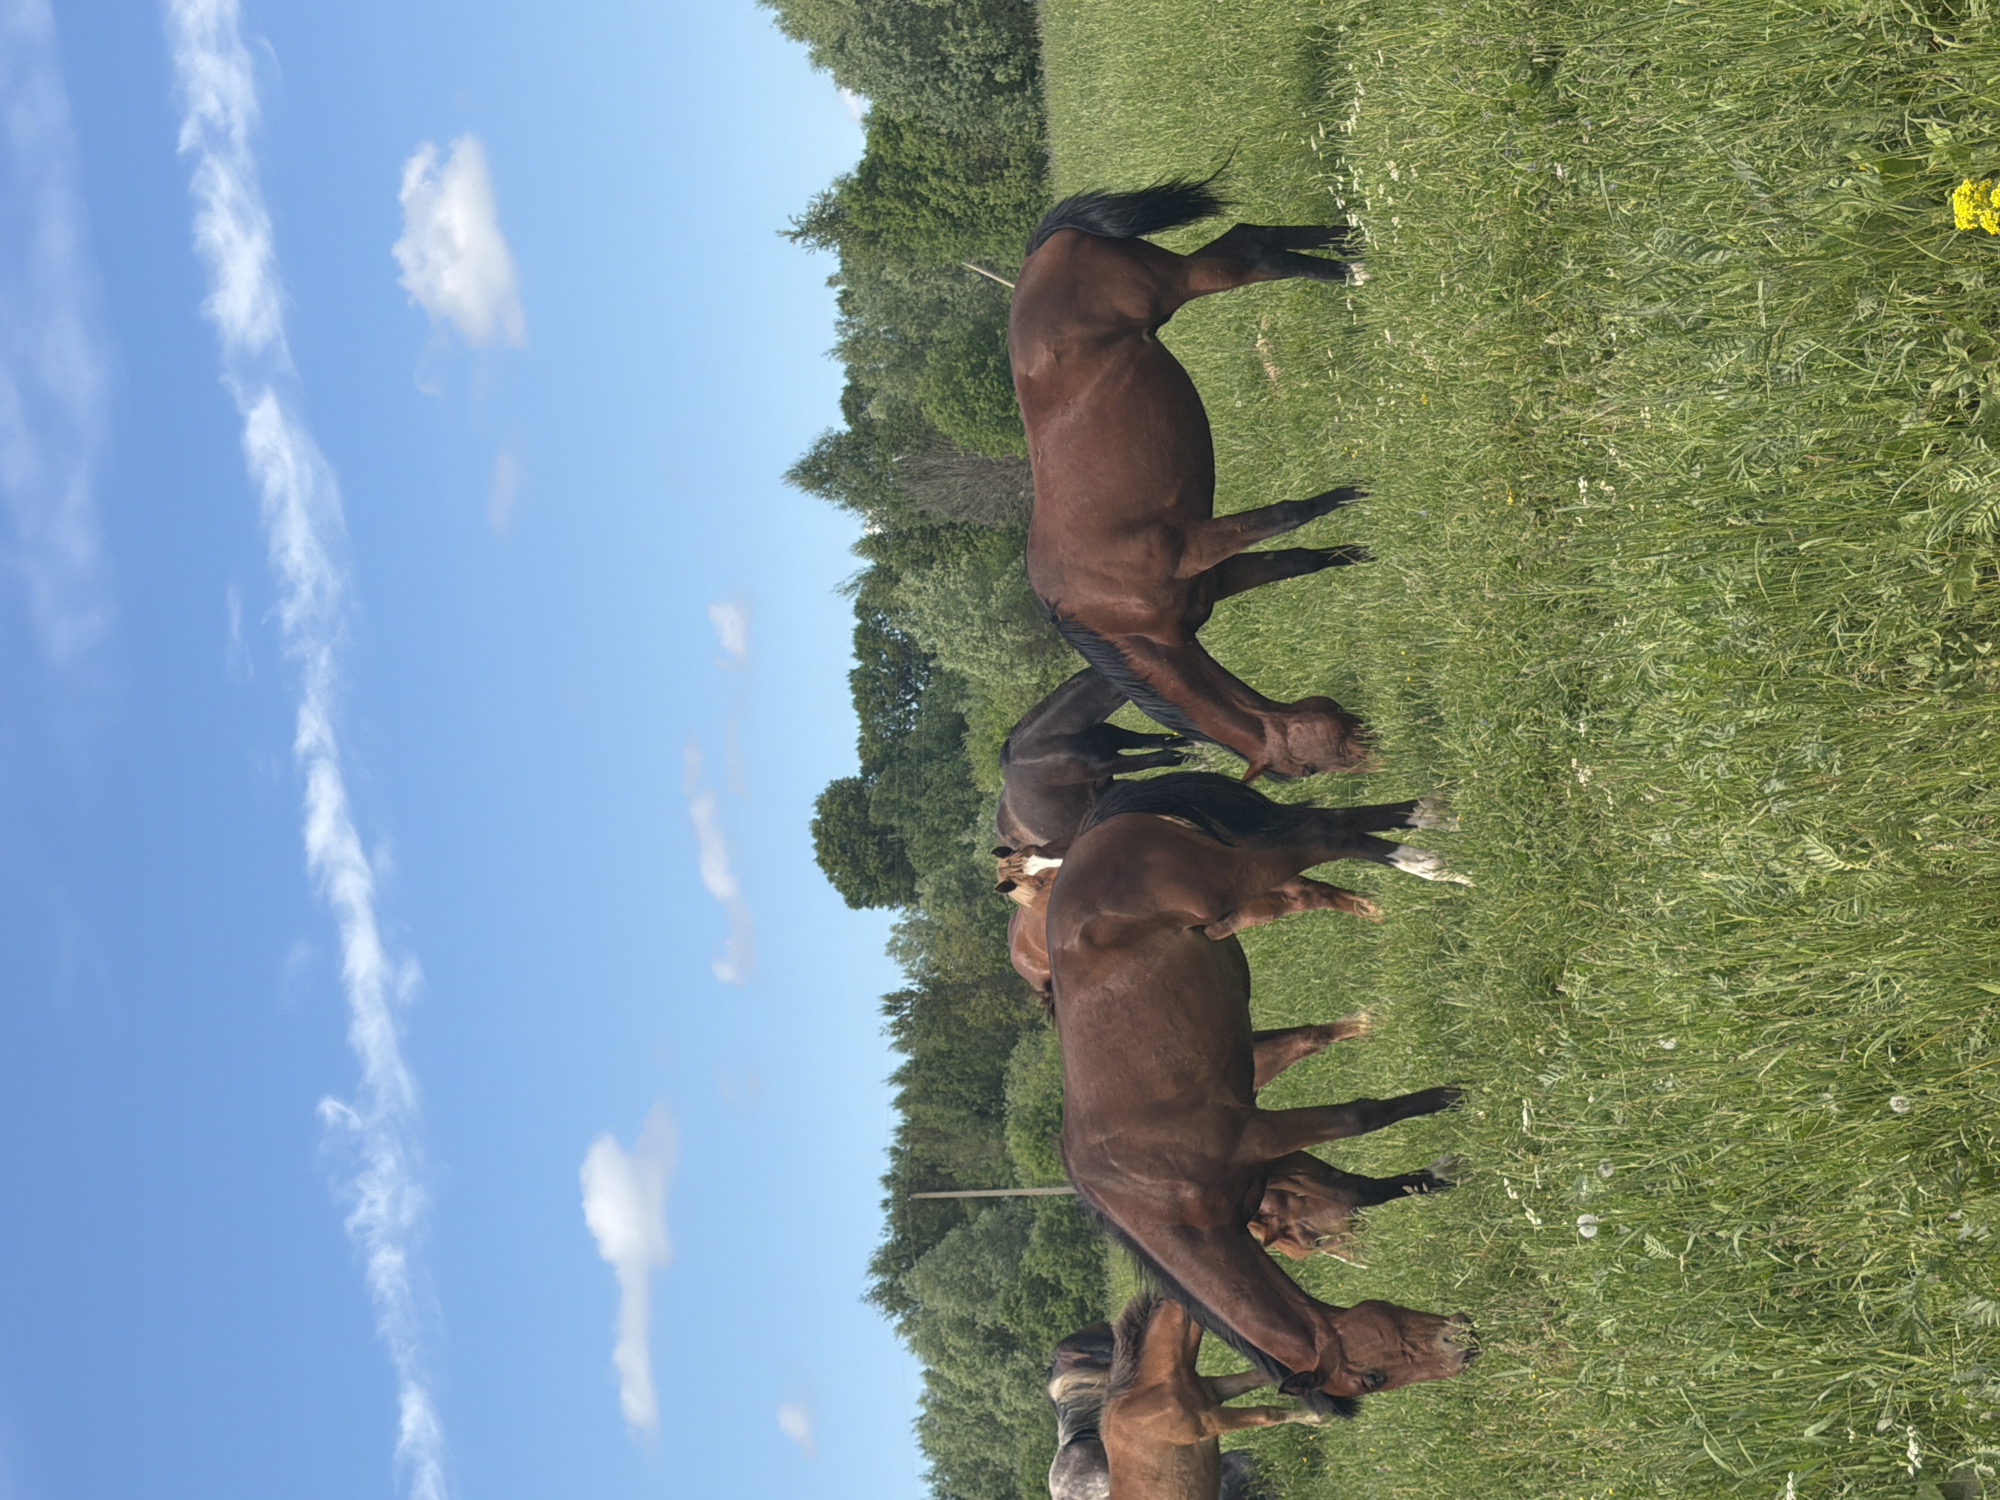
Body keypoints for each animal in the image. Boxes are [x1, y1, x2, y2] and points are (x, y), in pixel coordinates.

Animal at [1011, 179, 1371, 782]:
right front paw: (1360, 552)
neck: (1113, 612)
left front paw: (1356, 494)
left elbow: (1288, 514)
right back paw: (1348, 246)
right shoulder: (1216, 576)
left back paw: (1348, 268)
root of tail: (1037, 255)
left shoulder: (1200, 545)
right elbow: (1299, 557)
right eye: (1304, 770)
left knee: (1251, 254)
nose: (1374, 748)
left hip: (1174, 283)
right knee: (1248, 241)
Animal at [1046, 774, 1477, 1413]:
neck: (1147, 1188)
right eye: (1373, 1378)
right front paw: (1442, 1172)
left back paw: (1434, 864)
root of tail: (1088, 839)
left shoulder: (1262, 1133)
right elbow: (1360, 1189)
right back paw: (1432, 822)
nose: (1463, 1345)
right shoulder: (1275, 1163)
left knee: (1328, 833)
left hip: (1241, 872)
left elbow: (1362, 1116)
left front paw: (1457, 1095)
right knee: (1337, 821)